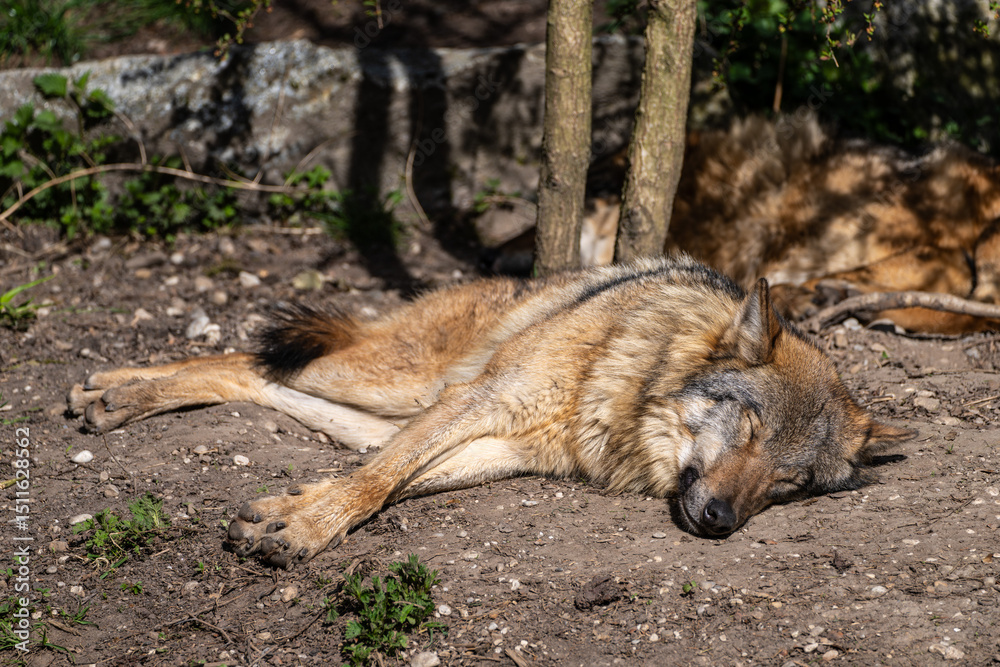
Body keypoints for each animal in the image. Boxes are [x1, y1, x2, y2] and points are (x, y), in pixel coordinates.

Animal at [68, 256, 913, 568]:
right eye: (750, 429)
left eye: (790, 483)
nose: (717, 523)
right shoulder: (479, 401)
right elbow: (372, 483)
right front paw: (304, 526)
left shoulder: (501, 450)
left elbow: (385, 483)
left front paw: (294, 510)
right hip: (400, 384)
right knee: (249, 359)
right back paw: (110, 390)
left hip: (378, 409)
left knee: (263, 383)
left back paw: (115, 394)